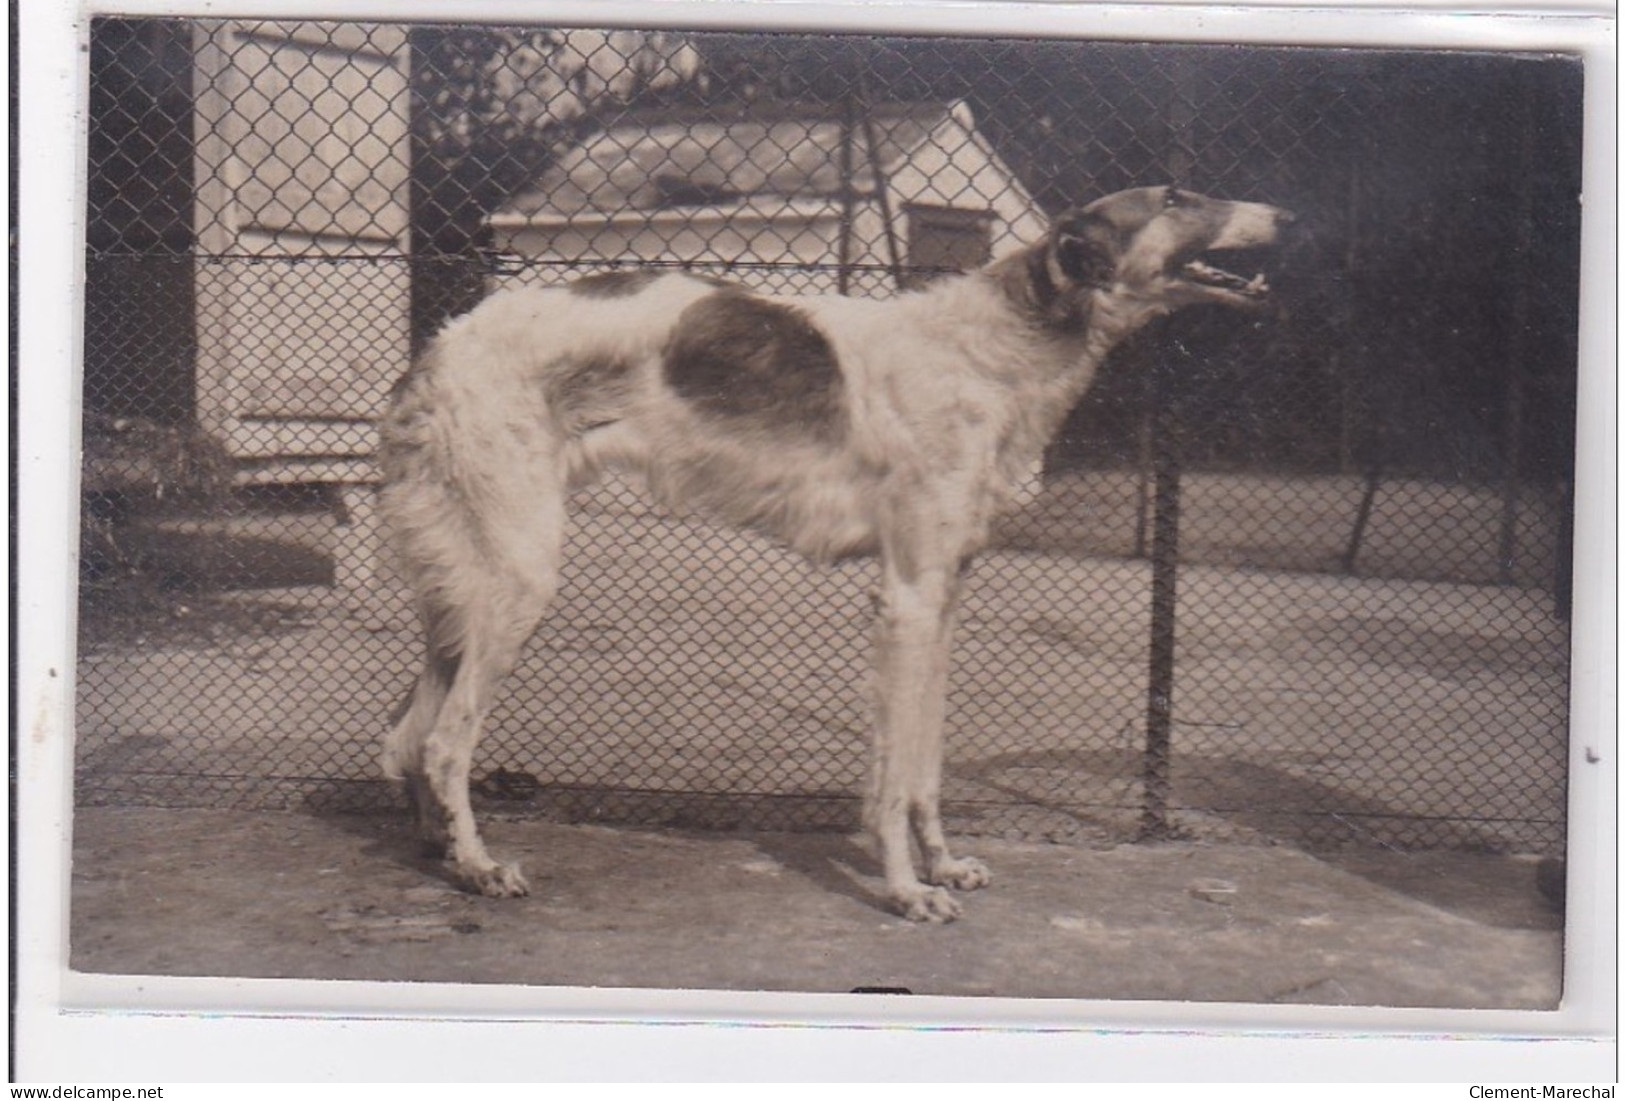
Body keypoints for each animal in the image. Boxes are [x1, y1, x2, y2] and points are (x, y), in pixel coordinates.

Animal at [373, 183, 1287, 922]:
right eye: (1173, 195)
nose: (1284, 215)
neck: (1000, 343)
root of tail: (443, 342)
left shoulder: (942, 595)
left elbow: (924, 763)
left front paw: (943, 865)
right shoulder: (905, 598)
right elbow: (890, 775)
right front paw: (905, 889)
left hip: (464, 590)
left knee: (407, 732)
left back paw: (440, 848)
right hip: (520, 574)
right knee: (445, 740)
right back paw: (480, 867)